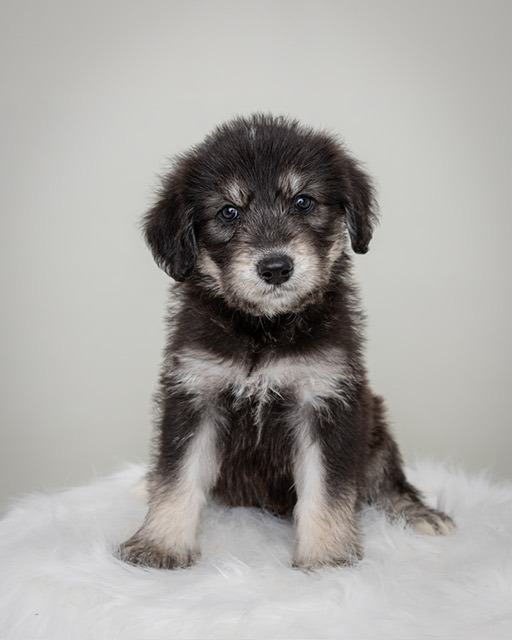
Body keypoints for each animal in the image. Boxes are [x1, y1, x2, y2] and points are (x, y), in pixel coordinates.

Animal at [118, 115, 454, 568]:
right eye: (228, 211)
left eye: (303, 202)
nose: (276, 267)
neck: (263, 330)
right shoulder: (195, 397)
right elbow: (178, 478)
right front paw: (159, 545)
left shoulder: (325, 403)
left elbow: (327, 490)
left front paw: (327, 557)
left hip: (376, 422)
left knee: (386, 480)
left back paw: (419, 513)